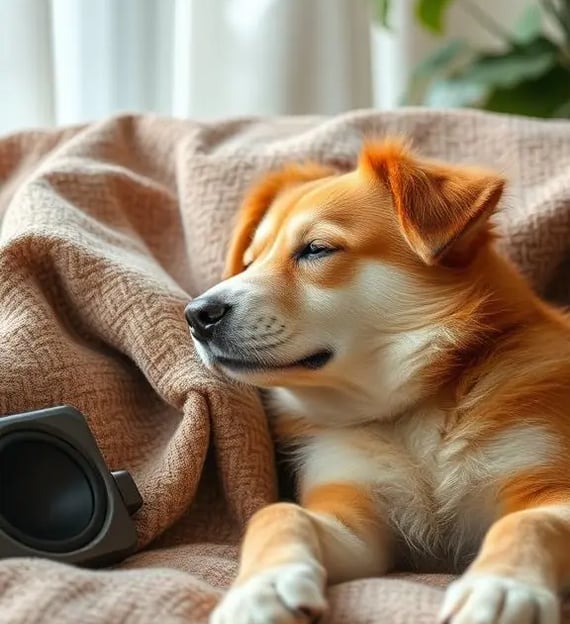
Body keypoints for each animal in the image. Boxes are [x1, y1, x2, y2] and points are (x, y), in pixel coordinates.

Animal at [185, 138, 568, 624]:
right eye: (250, 262)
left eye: (316, 249)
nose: (196, 315)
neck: (407, 412)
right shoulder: (355, 518)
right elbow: (278, 516)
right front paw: (259, 590)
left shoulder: (545, 481)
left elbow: (530, 521)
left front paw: (501, 587)